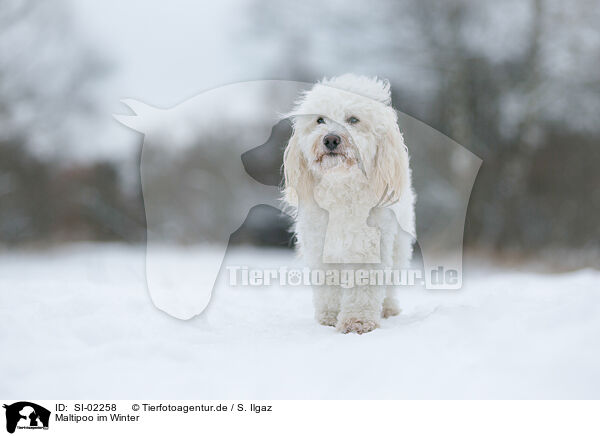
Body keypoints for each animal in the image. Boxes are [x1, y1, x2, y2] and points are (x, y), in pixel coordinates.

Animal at [282, 75, 414, 334]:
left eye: (353, 119)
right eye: (320, 120)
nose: (331, 138)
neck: (341, 183)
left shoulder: (371, 248)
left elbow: (364, 288)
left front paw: (358, 321)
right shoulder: (320, 246)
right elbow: (329, 288)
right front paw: (330, 317)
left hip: (398, 244)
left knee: (392, 280)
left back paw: (388, 308)